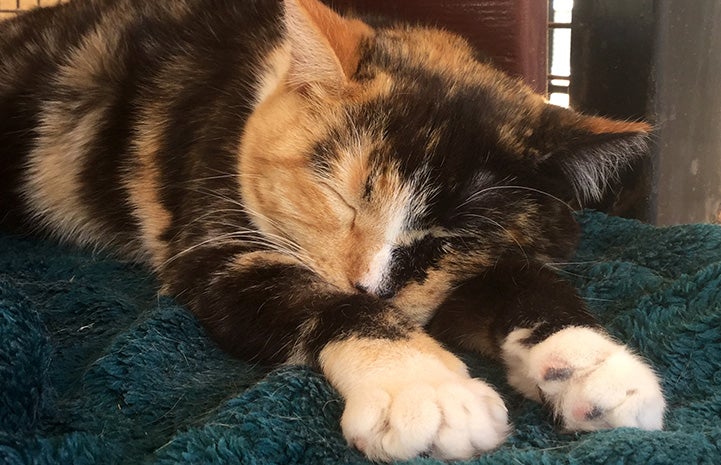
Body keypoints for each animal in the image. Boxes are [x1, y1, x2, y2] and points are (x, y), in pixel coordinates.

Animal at [0, 0, 664, 458]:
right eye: (343, 198)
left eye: (449, 239)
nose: (371, 285)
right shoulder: (218, 245)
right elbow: (316, 299)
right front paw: (424, 389)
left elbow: (524, 279)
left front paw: (593, 365)